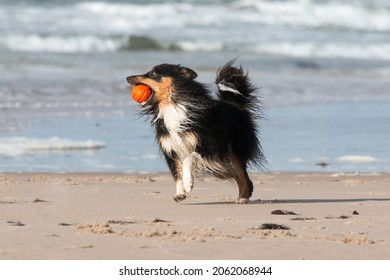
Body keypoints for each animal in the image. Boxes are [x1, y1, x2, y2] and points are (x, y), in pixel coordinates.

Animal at [126, 60, 266, 203]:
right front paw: (180, 193)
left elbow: (189, 158)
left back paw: (243, 197)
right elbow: (176, 173)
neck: (172, 105)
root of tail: (234, 104)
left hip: (235, 150)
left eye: (154, 73)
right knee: (231, 173)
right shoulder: (171, 149)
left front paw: (188, 184)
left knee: (243, 175)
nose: (128, 78)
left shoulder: (208, 145)